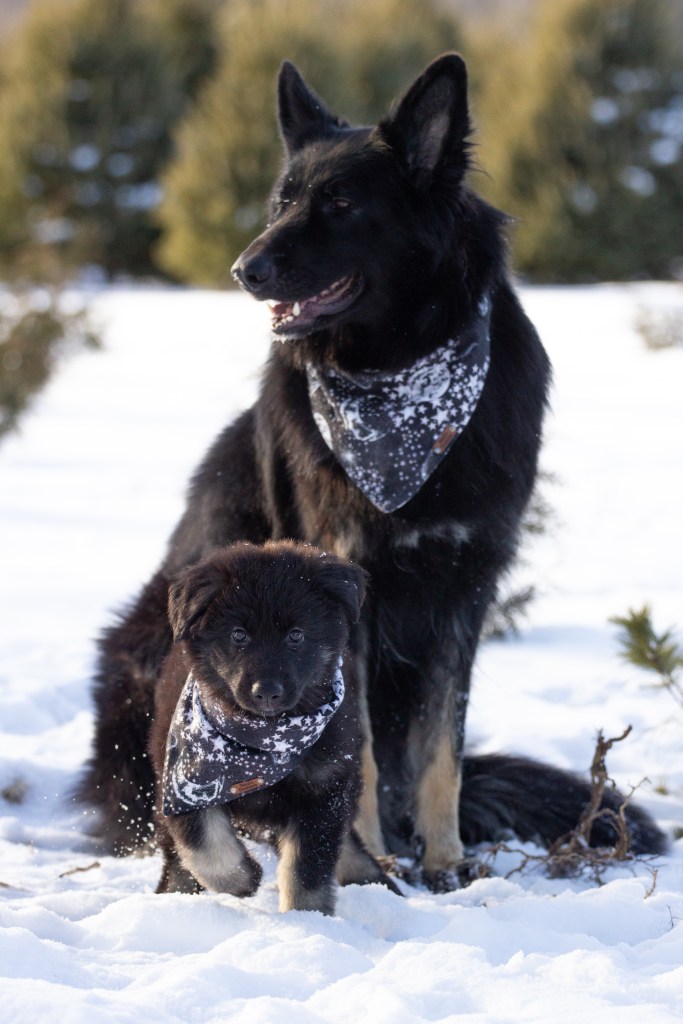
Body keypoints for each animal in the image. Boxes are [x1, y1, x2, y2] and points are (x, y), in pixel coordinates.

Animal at [149, 541, 396, 914]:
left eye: (296, 635)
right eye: (238, 634)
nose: (266, 691)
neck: (258, 741)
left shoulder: (323, 786)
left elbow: (308, 867)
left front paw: (308, 920)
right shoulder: (182, 781)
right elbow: (202, 843)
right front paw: (243, 879)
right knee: (178, 857)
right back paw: (173, 897)